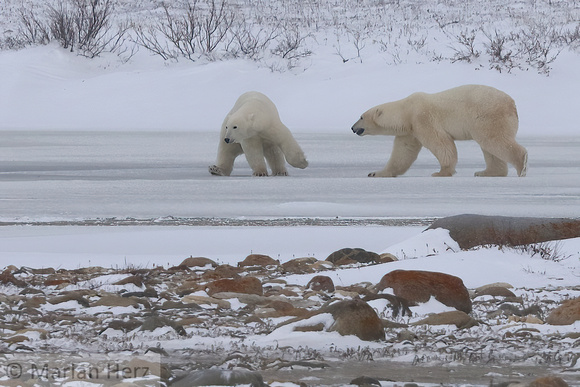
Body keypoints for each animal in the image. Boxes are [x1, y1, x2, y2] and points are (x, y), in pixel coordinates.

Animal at [352, 85, 528, 178]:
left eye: (361, 116)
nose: (353, 128)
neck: (406, 111)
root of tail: (512, 104)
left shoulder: (422, 118)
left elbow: (440, 143)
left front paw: (441, 172)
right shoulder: (410, 131)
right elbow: (403, 153)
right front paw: (376, 173)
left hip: (487, 116)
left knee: (494, 140)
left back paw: (521, 166)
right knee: (489, 147)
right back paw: (486, 172)